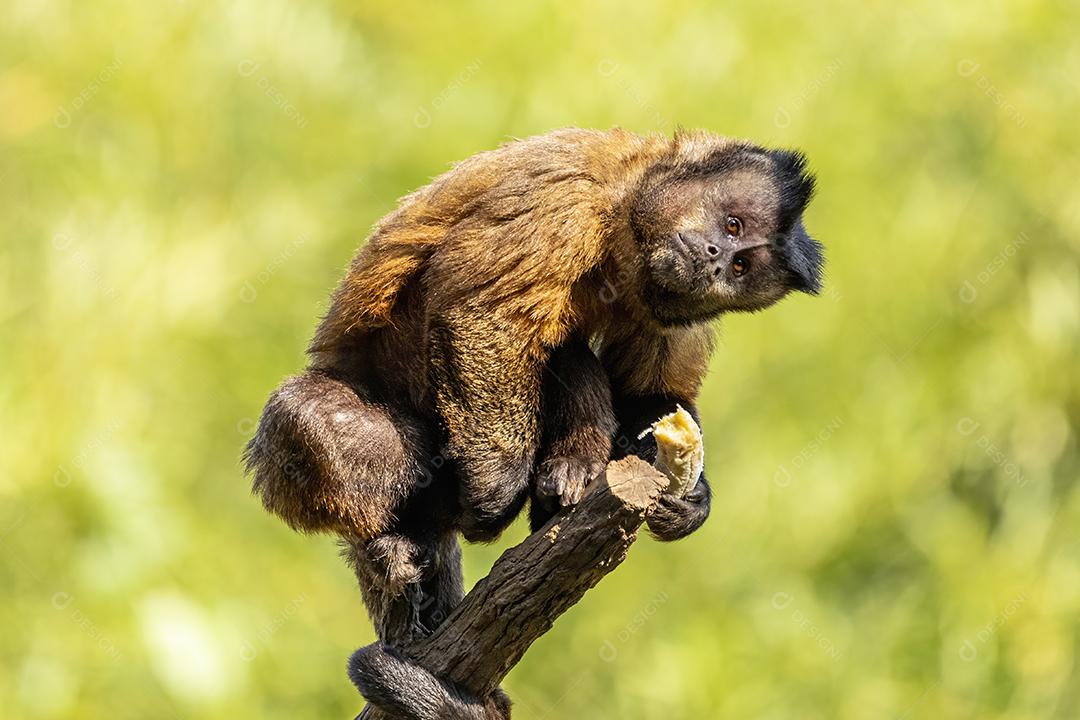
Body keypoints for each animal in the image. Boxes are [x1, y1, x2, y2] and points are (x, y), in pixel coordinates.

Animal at [243, 127, 822, 719]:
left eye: (741, 268)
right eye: (732, 227)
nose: (715, 258)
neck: (624, 219)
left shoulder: (672, 302)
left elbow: (655, 397)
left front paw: (691, 499)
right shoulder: (568, 197)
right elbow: (480, 312)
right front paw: (496, 489)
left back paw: (563, 479)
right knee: (310, 418)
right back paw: (396, 543)